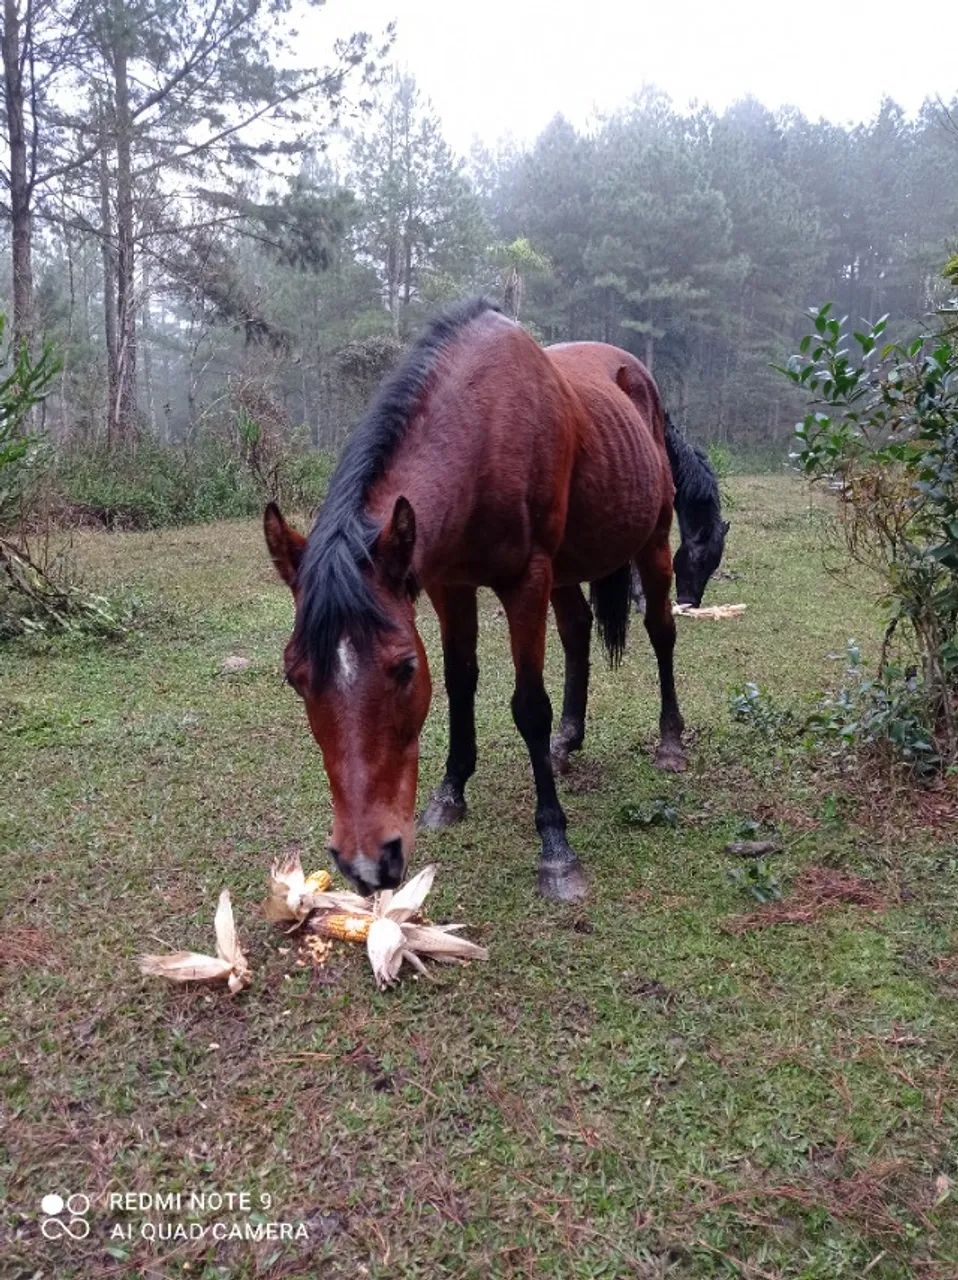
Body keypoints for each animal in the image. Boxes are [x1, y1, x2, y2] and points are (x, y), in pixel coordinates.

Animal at [264, 299, 684, 903]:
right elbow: (461, 682)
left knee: (660, 631)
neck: (482, 429)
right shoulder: (449, 586)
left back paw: (671, 742)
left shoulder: (526, 581)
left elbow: (529, 706)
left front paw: (556, 850)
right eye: (294, 677)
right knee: (577, 631)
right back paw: (567, 740)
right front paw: (450, 792)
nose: (368, 863)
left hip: (652, 542)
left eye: (403, 668)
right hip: (568, 568)